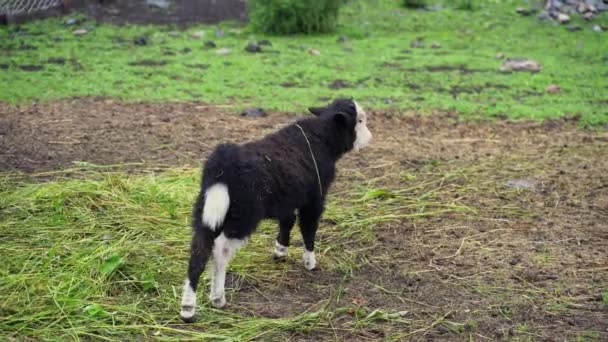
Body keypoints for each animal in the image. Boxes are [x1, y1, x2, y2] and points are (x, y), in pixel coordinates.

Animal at [178, 97, 372, 322]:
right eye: (360, 120)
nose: (370, 138)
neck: (321, 138)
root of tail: (221, 166)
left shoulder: (287, 198)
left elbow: (287, 221)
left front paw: (280, 251)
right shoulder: (315, 198)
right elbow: (308, 227)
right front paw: (310, 262)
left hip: (206, 211)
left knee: (198, 252)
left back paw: (188, 307)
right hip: (242, 216)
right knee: (220, 251)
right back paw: (217, 298)